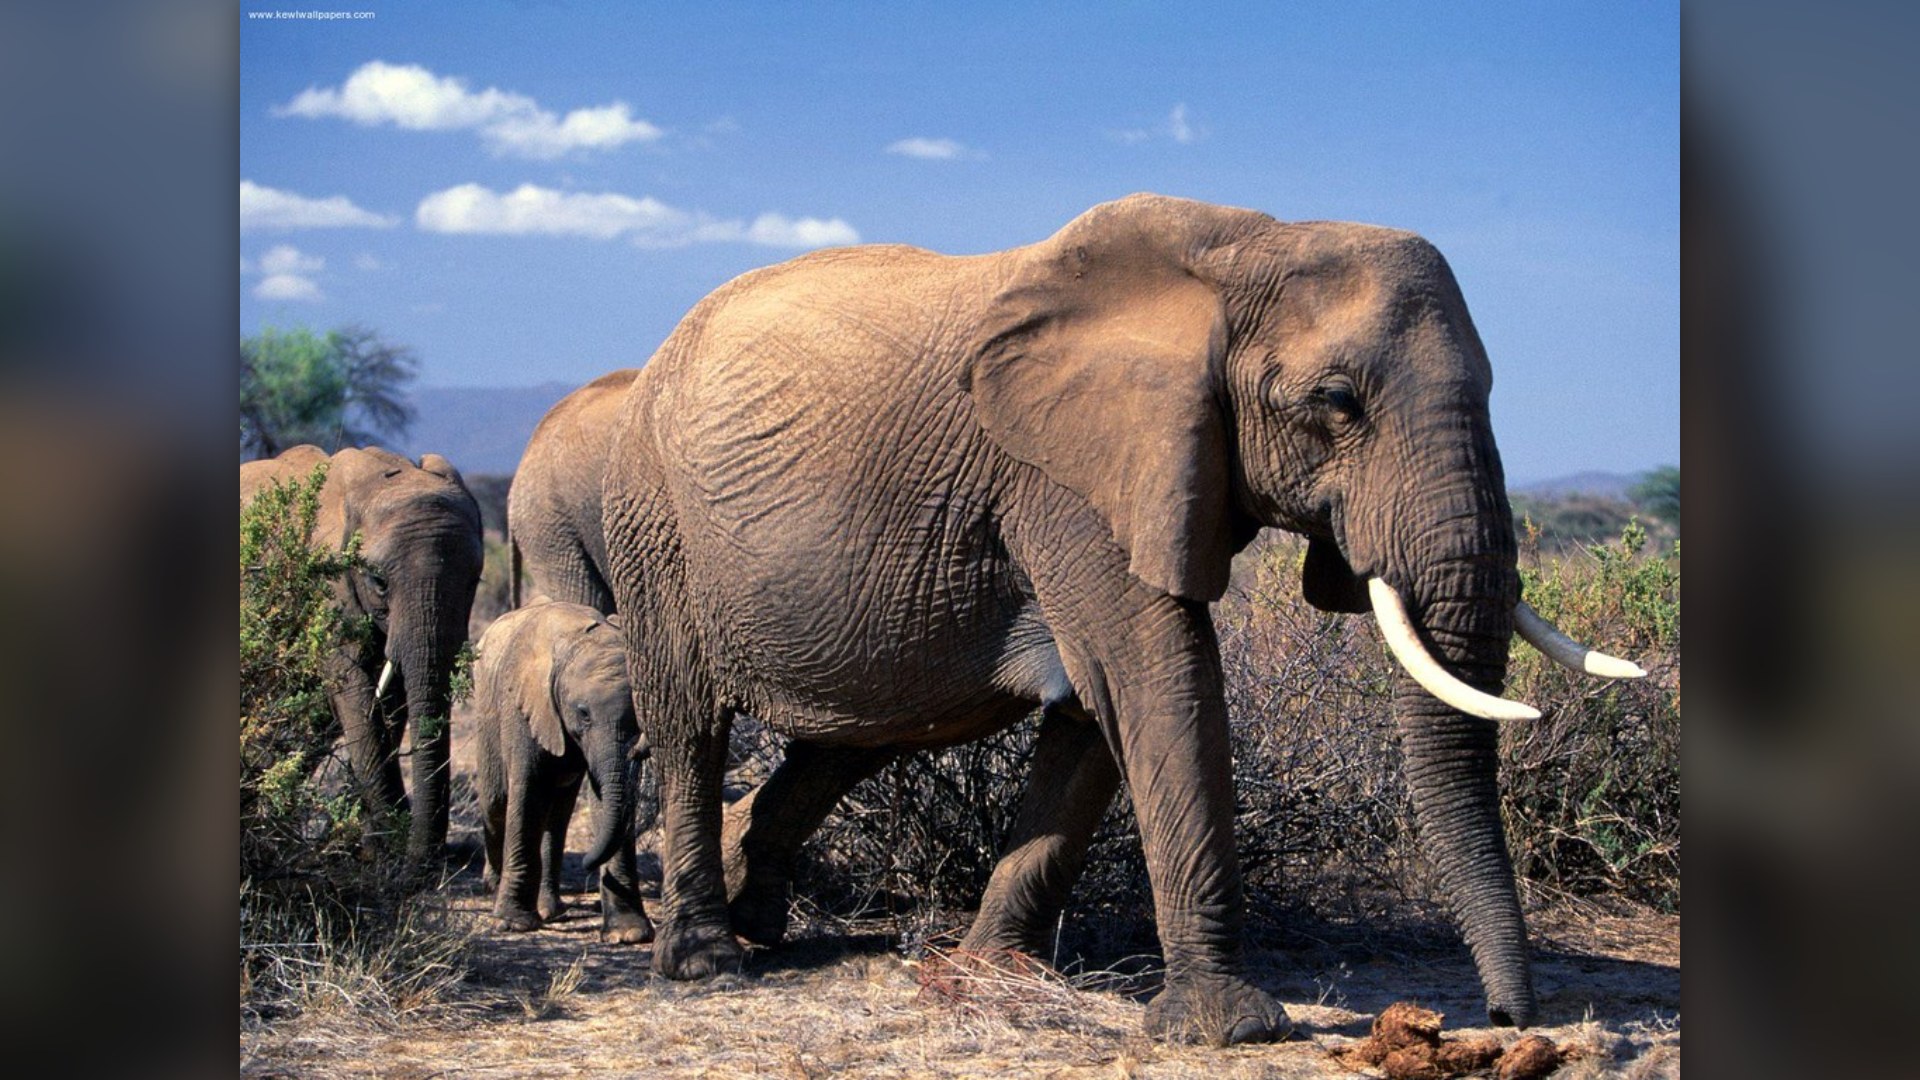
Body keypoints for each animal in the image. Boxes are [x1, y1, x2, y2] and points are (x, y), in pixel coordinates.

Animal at [240, 445, 485, 864]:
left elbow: (392, 694)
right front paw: (386, 848)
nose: (426, 857)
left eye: (474, 580)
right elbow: (354, 691)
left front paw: (375, 847)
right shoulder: (329, 588)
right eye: (379, 582)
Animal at [471, 602, 654, 942]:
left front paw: (628, 934)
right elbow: (527, 793)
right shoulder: (524, 706)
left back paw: (549, 910)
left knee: (557, 817)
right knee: (495, 803)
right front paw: (513, 924)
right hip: (485, 714)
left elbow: (605, 800)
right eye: (583, 714)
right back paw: (492, 888)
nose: (585, 862)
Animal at [597, 194, 1643, 1044]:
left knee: (857, 734)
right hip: (654, 524)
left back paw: (760, 921)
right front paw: (1227, 1030)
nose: (1509, 1021)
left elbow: (1095, 712)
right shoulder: (1065, 479)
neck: (1242, 245)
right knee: (690, 727)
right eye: (1337, 402)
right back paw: (706, 964)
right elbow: (1156, 677)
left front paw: (984, 971)